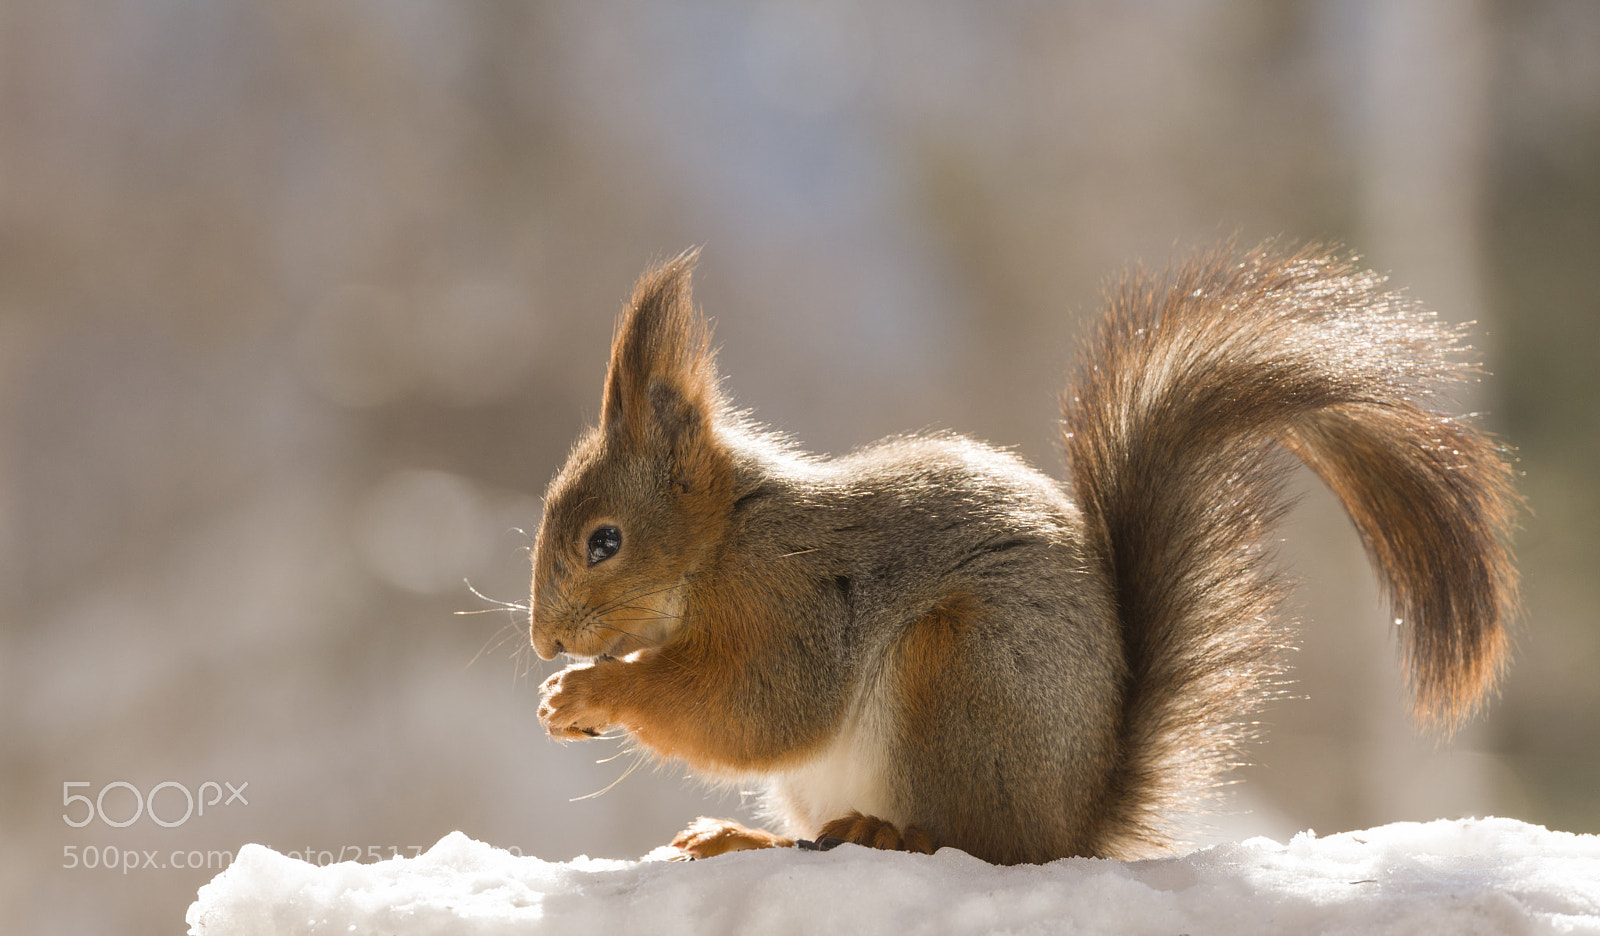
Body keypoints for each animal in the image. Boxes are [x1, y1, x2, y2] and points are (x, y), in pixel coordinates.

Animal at [529, 241, 1519, 865]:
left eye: (603, 541)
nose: (545, 642)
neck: (725, 542)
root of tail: (1074, 824)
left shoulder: (797, 599)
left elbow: (758, 706)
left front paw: (591, 692)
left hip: (959, 673)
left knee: (982, 844)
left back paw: (890, 835)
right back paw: (746, 837)